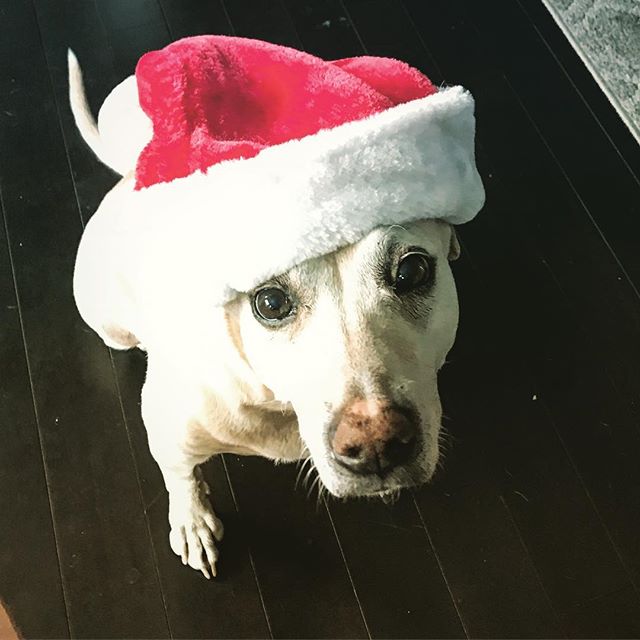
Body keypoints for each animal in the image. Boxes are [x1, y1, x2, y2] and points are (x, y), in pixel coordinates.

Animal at [69, 48, 476, 580]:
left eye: (411, 270)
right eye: (269, 302)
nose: (377, 443)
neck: (279, 403)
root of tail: (129, 177)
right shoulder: (167, 423)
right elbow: (180, 473)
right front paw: (192, 520)